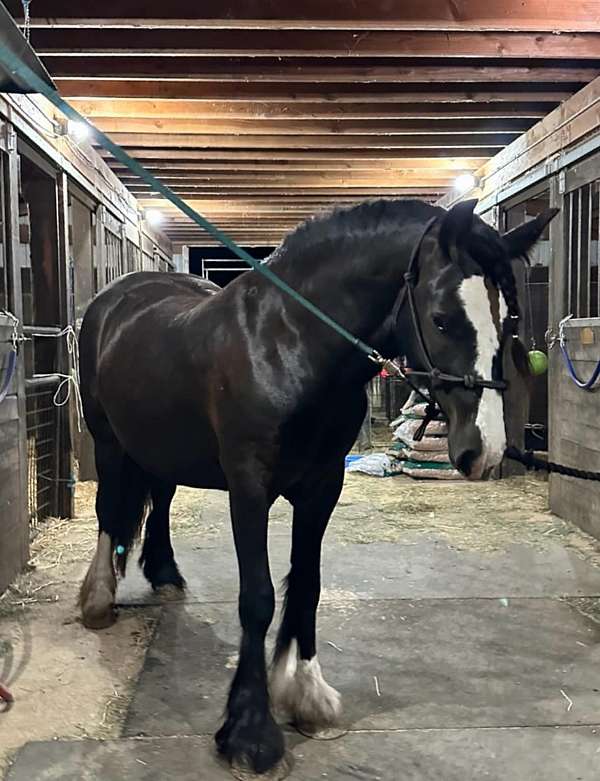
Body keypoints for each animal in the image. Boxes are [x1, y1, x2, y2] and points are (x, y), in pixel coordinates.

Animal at [78, 197, 556, 772]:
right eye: (442, 318)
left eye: (509, 319)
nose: (484, 451)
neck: (287, 345)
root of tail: (118, 296)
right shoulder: (249, 489)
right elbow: (258, 597)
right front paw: (250, 732)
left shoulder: (323, 486)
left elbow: (307, 585)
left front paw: (307, 696)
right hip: (107, 439)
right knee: (109, 510)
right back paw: (98, 600)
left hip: (162, 445)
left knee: (163, 499)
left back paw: (166, 572)